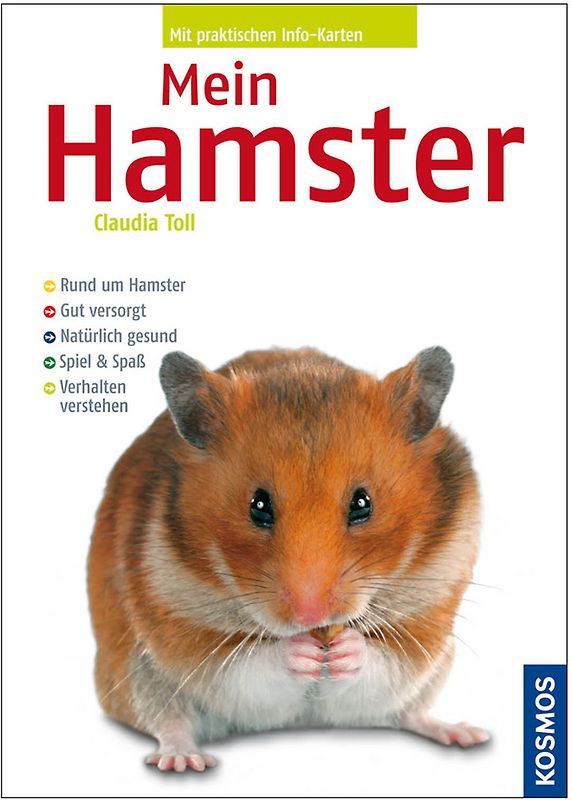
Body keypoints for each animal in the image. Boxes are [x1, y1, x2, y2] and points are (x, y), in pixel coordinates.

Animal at [88, 346, 489, 773]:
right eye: (258, 506)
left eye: (363, 503)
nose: (310, 616)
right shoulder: (183, 629)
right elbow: (247, 664)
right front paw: (299, 652)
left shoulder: (426, 618)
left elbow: (386, 660)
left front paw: (345, 648)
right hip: (134, 670)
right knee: (169, 720)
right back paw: (183, 760)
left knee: (408, 712)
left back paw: (464, 734)